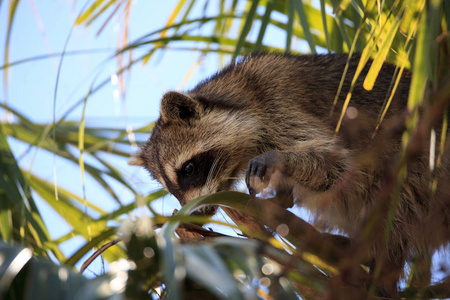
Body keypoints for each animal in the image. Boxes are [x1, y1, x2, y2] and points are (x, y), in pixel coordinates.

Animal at [130, 53, 450, 292]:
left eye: (189, 169)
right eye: (171, 189)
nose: (195, 212)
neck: (238, 92)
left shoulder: (279, 102)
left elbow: (338, 166)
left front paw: (281, 160)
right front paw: (278, 201)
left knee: (399, 188)